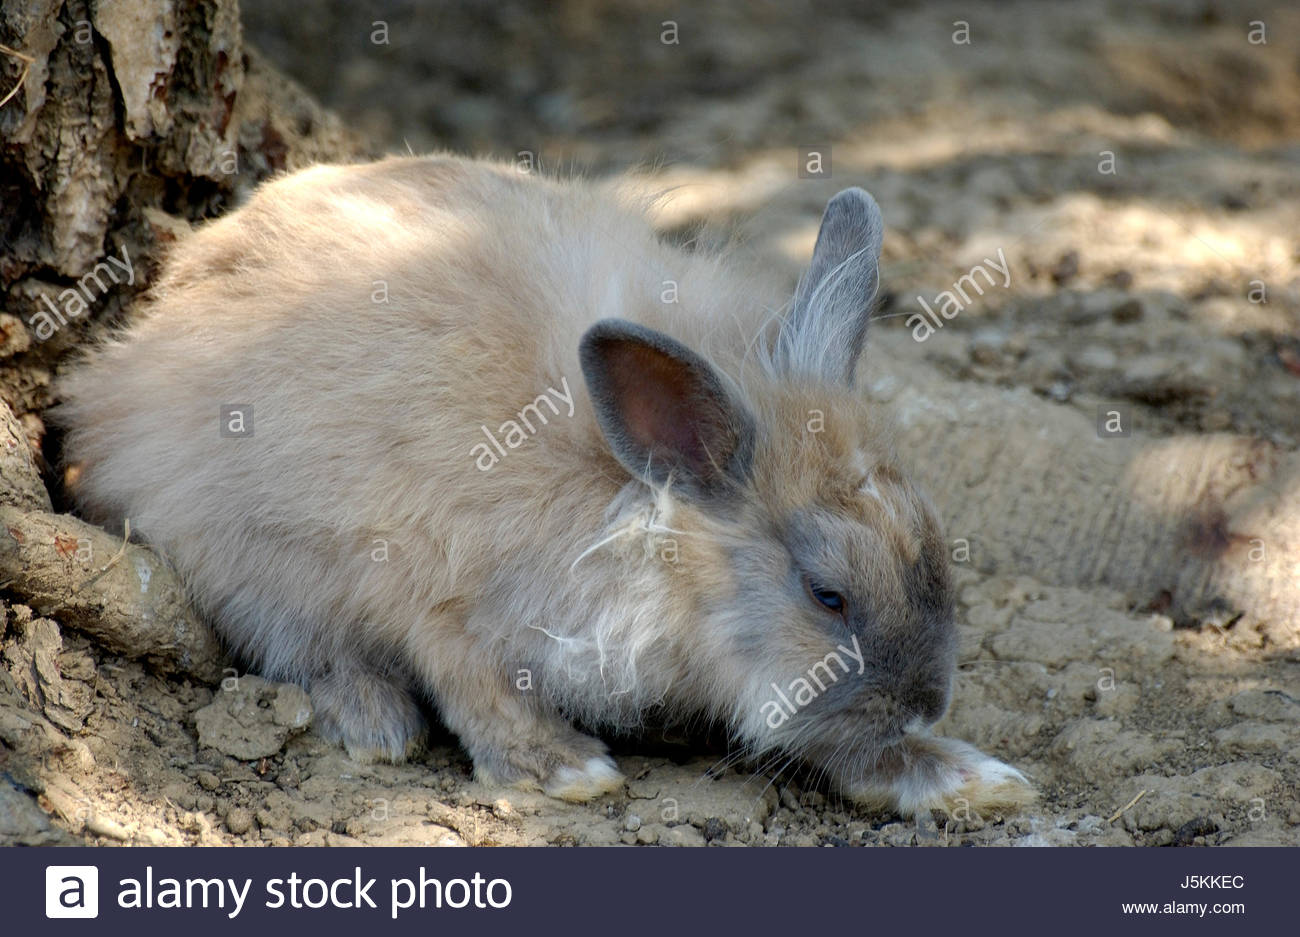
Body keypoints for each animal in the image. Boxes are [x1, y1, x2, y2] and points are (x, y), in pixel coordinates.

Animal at [53, 154, 1034, 816]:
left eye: (937, 549)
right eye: (827, 595)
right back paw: (375, 723)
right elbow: (471, 682)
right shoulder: (433, 590)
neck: (634, 505)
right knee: (297, 646)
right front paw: (566, 770)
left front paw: (975, 777)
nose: (928, 700)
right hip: (251, 554)